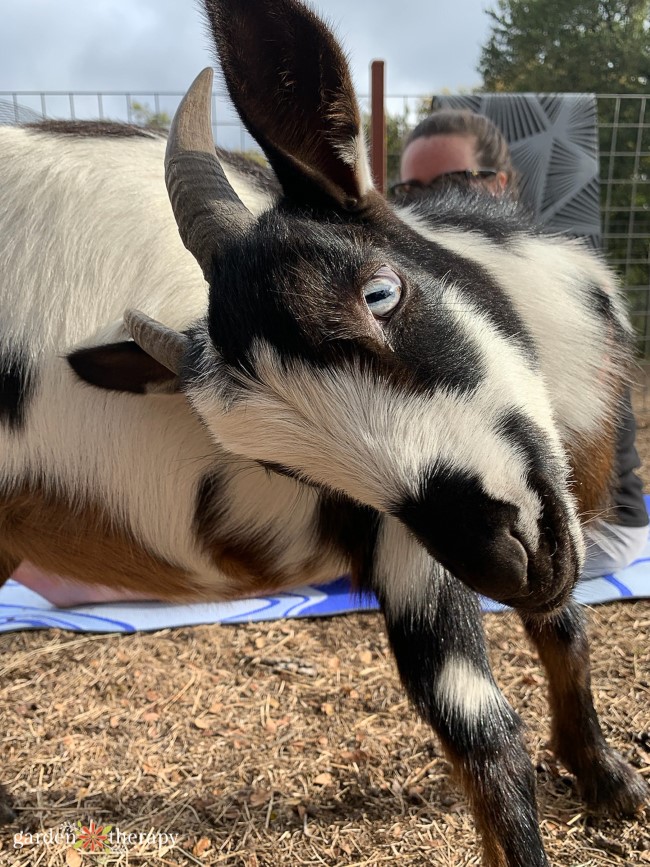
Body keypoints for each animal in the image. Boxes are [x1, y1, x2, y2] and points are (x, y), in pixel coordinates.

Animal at [0, 0, 644, 864]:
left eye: (379, 293)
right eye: (286, 467)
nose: (502, 565)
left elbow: (564, 623)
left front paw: (606, 776)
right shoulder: (414, 543)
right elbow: (482, 730)